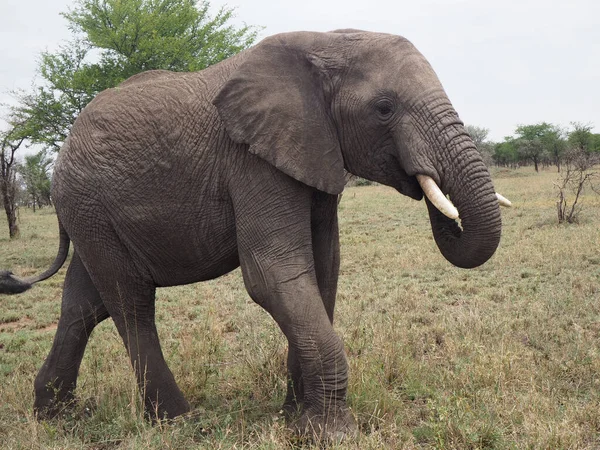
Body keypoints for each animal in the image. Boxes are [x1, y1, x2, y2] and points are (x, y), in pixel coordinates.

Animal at [0, 30, 508, 440]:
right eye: (384, 110)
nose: (427, 184)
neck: (326, 42)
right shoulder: (251, 161)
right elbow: (273, 275)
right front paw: (330, 435)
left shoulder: (312, 155)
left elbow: (323, 271)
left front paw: (296, 420)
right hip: (87, 201)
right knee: (130, 302)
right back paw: (178, 420)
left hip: (90, 213)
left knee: (85, 305)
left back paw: (58, 416)